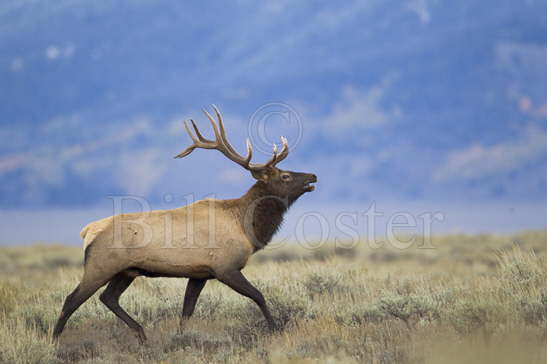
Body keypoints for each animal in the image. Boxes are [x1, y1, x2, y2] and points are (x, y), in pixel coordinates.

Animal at [52, 106, 316, 344]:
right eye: (285, 176)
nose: (313, 175)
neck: (247, 227)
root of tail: (87, 231)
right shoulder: (225, 267)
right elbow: (259, 296)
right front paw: (275, 329)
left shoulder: (200, 273)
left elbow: (186, 312)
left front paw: (182, 338)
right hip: (100, 265)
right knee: (71, 300)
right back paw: (54, 342)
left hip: (126, 271)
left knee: (108, 298)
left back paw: (142, 334)